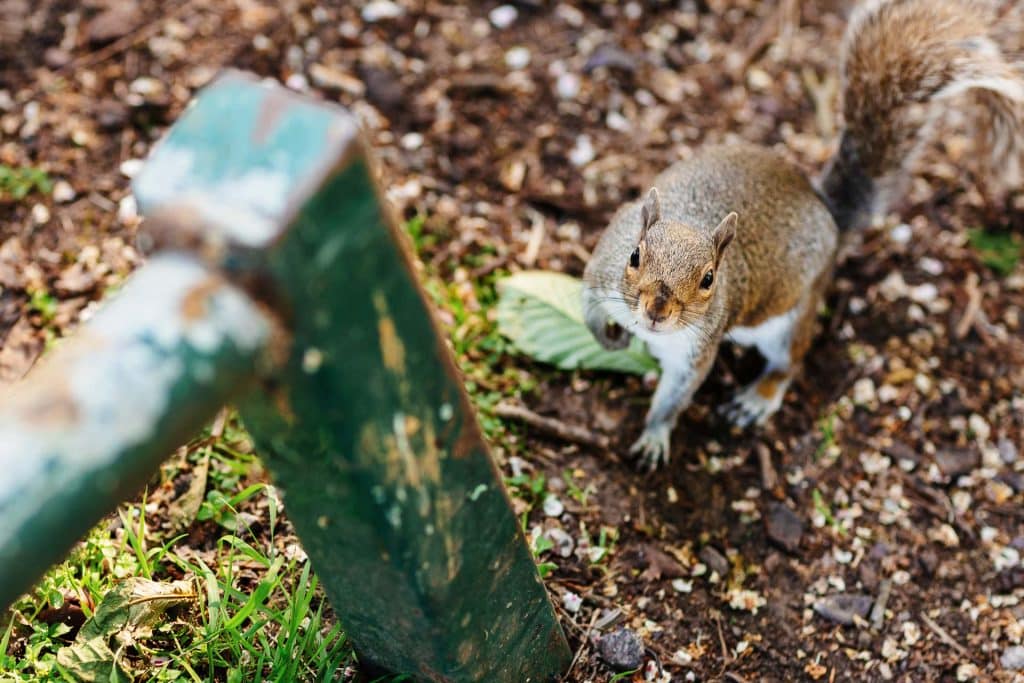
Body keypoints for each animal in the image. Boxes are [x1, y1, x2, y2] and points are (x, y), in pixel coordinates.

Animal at [582, 0, 1024, 472]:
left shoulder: (696, 348)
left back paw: (757, 397)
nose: (656, 312)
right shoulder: (602, 268)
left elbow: (675, 396)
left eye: (708, 280)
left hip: (792, 319)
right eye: (634, 256)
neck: (692, 219)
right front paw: (606, 337)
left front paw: (654, 434)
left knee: (789, 363)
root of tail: (826, 211)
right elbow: (587, 304)